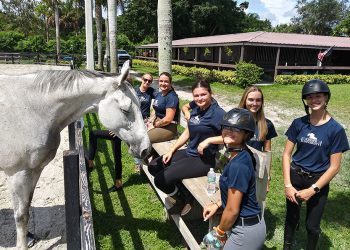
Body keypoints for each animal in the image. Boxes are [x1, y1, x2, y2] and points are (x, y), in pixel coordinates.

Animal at [0, 61, 150, 249]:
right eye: (125, 109)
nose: (146, 149)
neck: (32, 109)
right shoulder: (17, 173)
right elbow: (20, 215)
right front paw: (22, 244)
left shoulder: (33, 171)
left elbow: (26, 207)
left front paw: (28, 237)